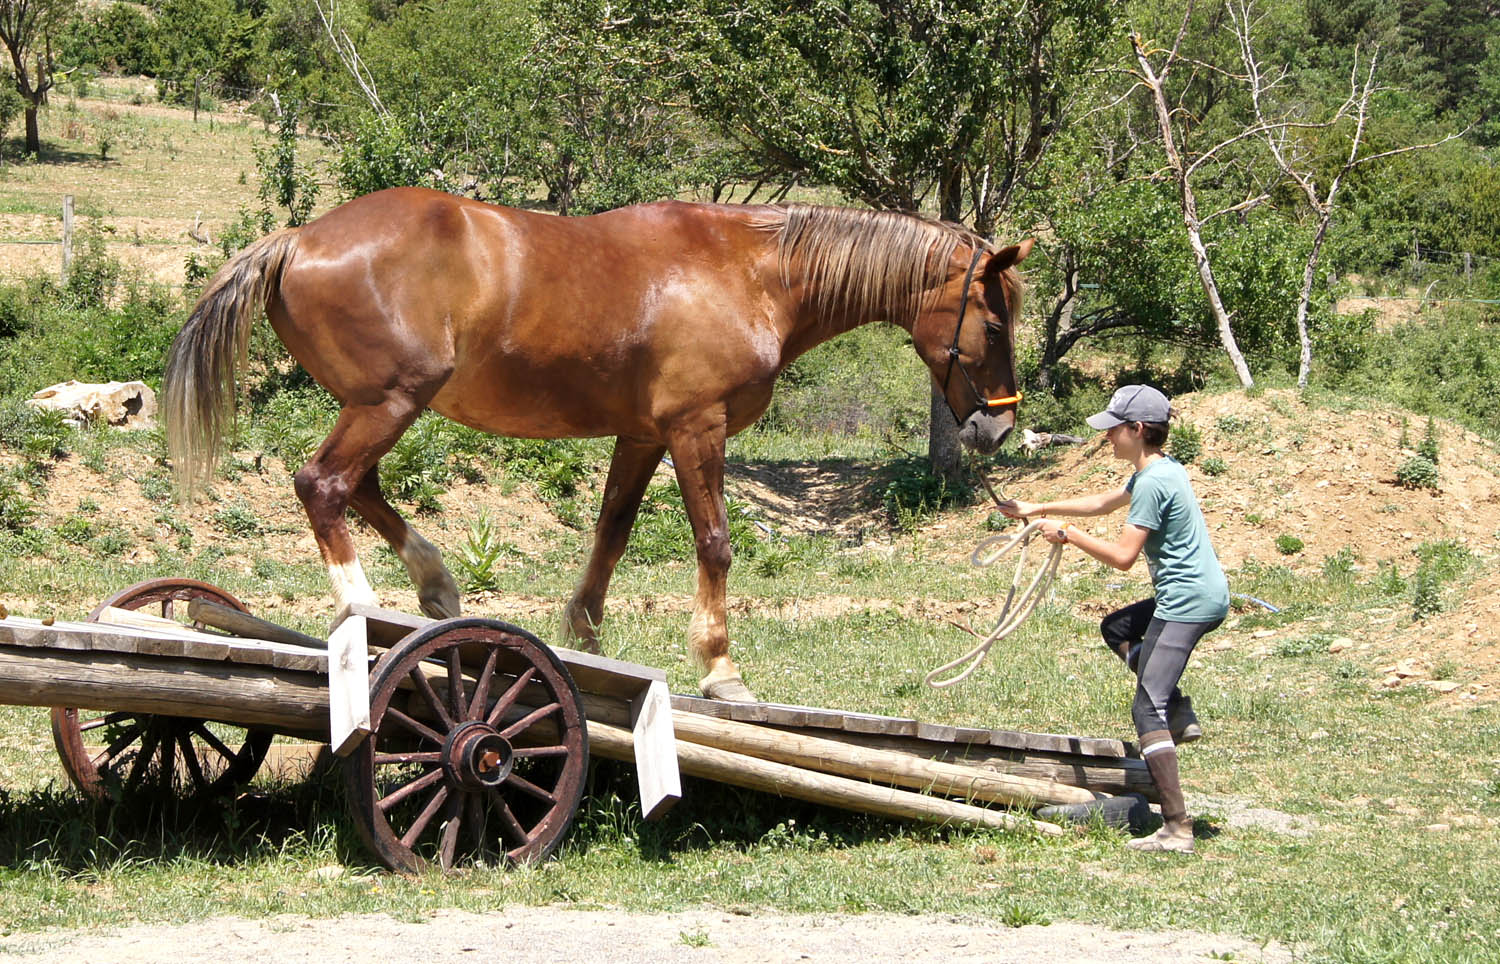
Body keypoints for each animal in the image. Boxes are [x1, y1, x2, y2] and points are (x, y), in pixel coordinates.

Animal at [164, 187, 1031, 701]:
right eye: (992, 324)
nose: (996, 426)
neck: (751, 274)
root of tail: (298, 238)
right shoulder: (695, 428)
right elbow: (715, 543)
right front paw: (719, 666)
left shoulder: (643, 435)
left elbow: (611, 532)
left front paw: (585, 634)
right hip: (389, 402)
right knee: (325, 484)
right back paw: (361, 608)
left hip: (383, 405)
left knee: (361, 488)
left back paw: (436, 589)